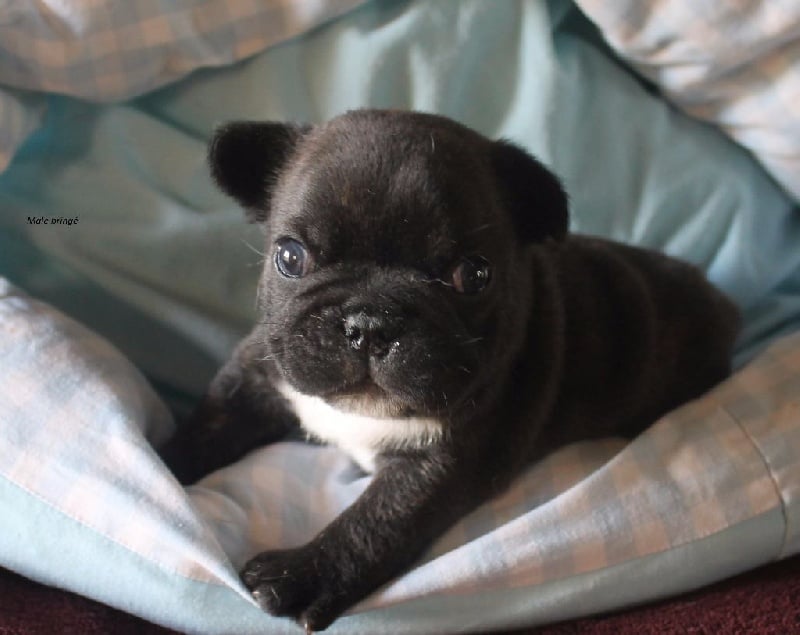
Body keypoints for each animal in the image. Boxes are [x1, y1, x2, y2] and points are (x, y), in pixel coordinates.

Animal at [159, 108, 740, 632]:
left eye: (474, 275)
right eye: (290, 257)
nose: (370, 323)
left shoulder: (445, 461)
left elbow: (377, 521)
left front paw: (303, 574)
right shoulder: (258, 373)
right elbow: (209, 422)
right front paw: (163, 467)